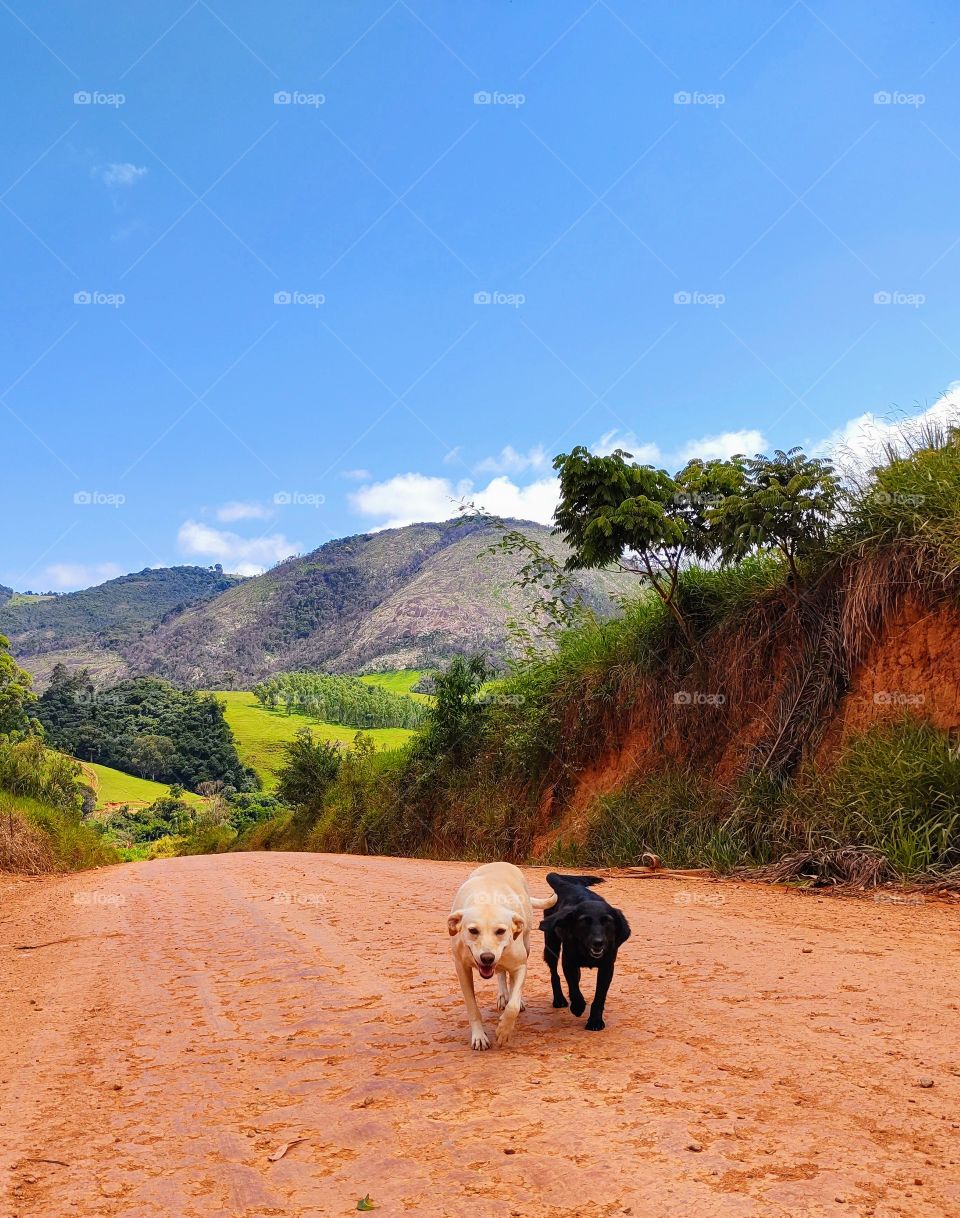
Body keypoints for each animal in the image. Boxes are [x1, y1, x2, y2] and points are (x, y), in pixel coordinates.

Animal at [540, 872, 628, 1032]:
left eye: (607, 921)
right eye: (584, 921)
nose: (598, 942)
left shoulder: (607, 967)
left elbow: (599, 996)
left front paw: (595, 1021)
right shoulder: (568, 962)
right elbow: (574, 987)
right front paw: (578, 1006)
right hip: (551, 946)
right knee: (554, 974)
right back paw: (559, 999)